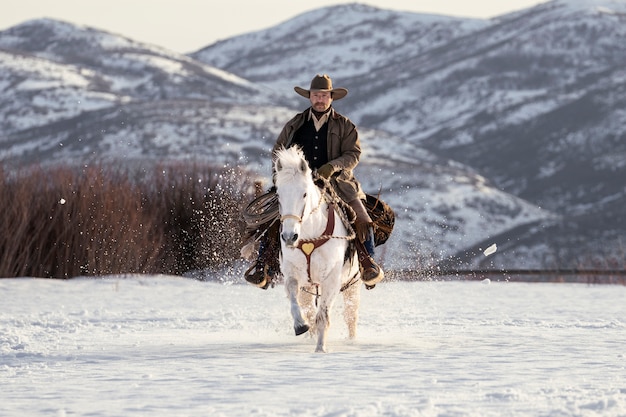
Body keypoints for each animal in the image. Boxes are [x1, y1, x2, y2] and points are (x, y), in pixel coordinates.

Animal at [274, 146, 360, 352]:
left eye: (304, 194)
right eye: (278, 195)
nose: (289, 237)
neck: (310, 236)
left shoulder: (332, 280)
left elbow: (323, 316)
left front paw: (320, 348)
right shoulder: (293, 274)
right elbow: (297, 303)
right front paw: (300, 325)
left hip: (353, 282)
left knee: (351, 314)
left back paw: (352, 340)